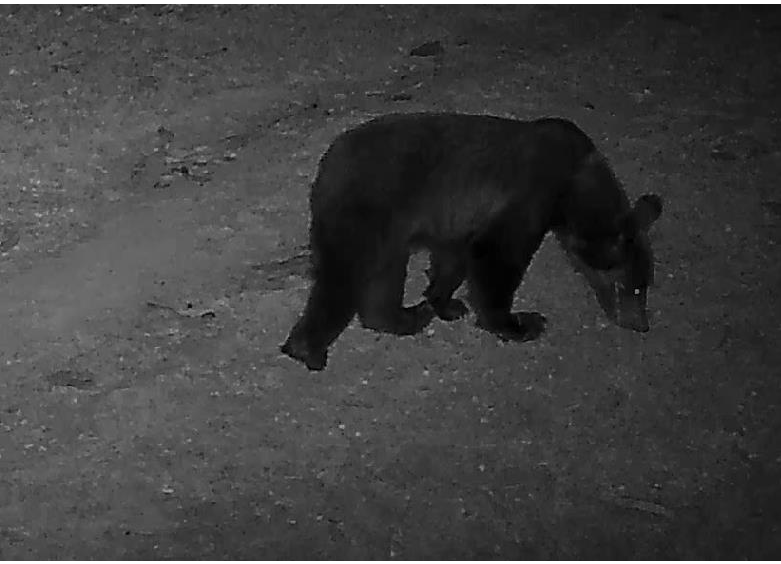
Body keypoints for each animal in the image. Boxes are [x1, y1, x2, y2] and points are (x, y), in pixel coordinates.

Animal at [281, 113, 662, 371]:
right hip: (369, 211)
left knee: (382, 280)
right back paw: (308, 349)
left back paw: (408, 316)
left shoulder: (458, 219)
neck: (575, 188)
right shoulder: (529, 195)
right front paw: (519, 323)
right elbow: (499, 257)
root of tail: (326, 166)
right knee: (346, 275)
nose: (642, 325)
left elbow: (453, 257)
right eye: (635, 286)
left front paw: (445, 302)